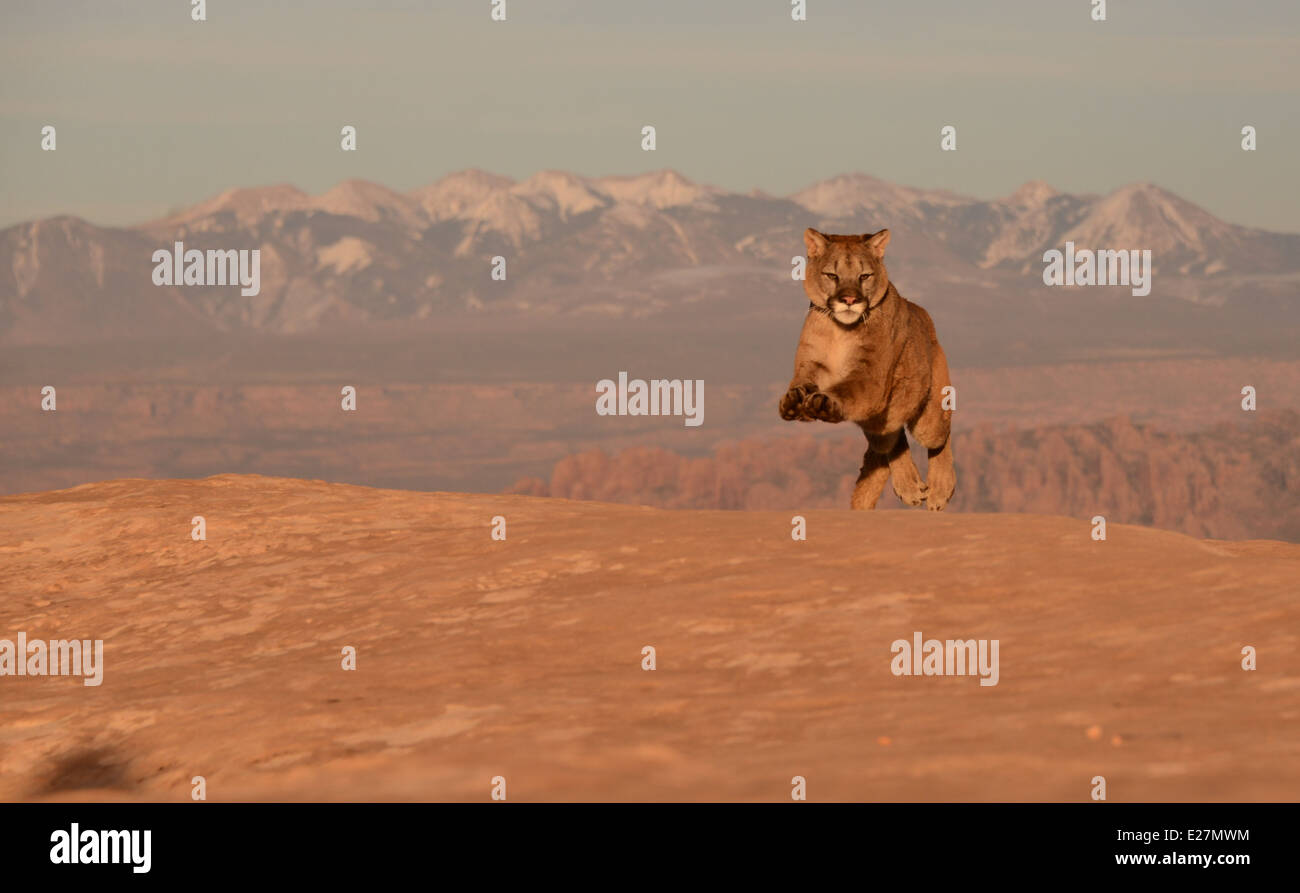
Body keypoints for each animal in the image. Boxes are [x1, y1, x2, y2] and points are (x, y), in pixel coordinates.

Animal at [778, 228, 956, 510]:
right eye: (832, 275)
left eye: (864, 276)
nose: (849, 299)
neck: (838, 331)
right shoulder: (810, 365)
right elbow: (799, 384)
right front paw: (793, 403)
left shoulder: (870, 376)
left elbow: (846, 389)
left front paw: (824, 402)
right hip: (880, 421)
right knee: (891, 438)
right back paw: (908, 486)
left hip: (930, 419)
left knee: (941, 436)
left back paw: (939, 489)